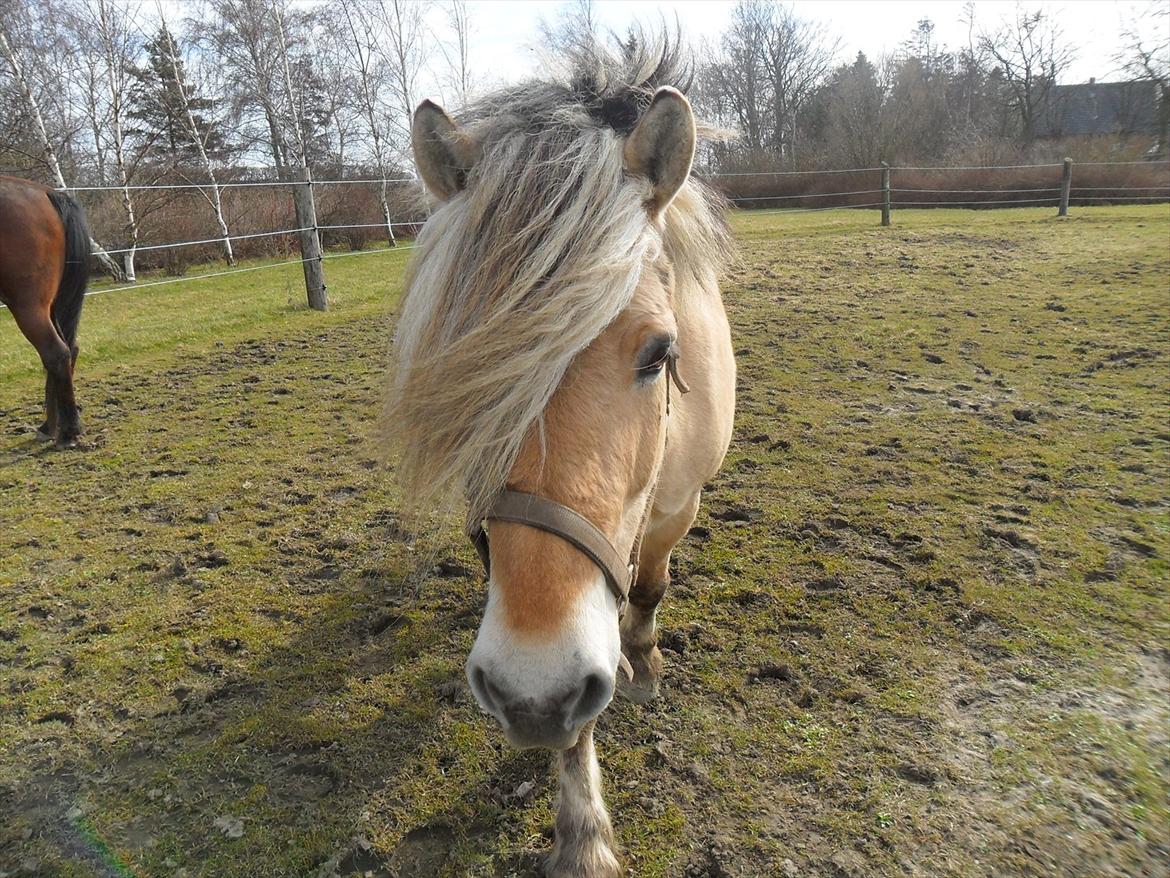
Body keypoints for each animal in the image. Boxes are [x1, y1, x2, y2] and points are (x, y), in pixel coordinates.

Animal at [0, 176, 90, 447]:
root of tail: (47, 193)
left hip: (29, 306)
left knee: (56, 353)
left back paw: (69, 431)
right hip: (49, 305)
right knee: (69, 349)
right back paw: (51, 426)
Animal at [388, 39, 734, 878]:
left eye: (660, 353)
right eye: (464, 369)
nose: (531, 689)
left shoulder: (677, 505)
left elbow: (649, 587)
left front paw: (644, 661)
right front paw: (583, 834)